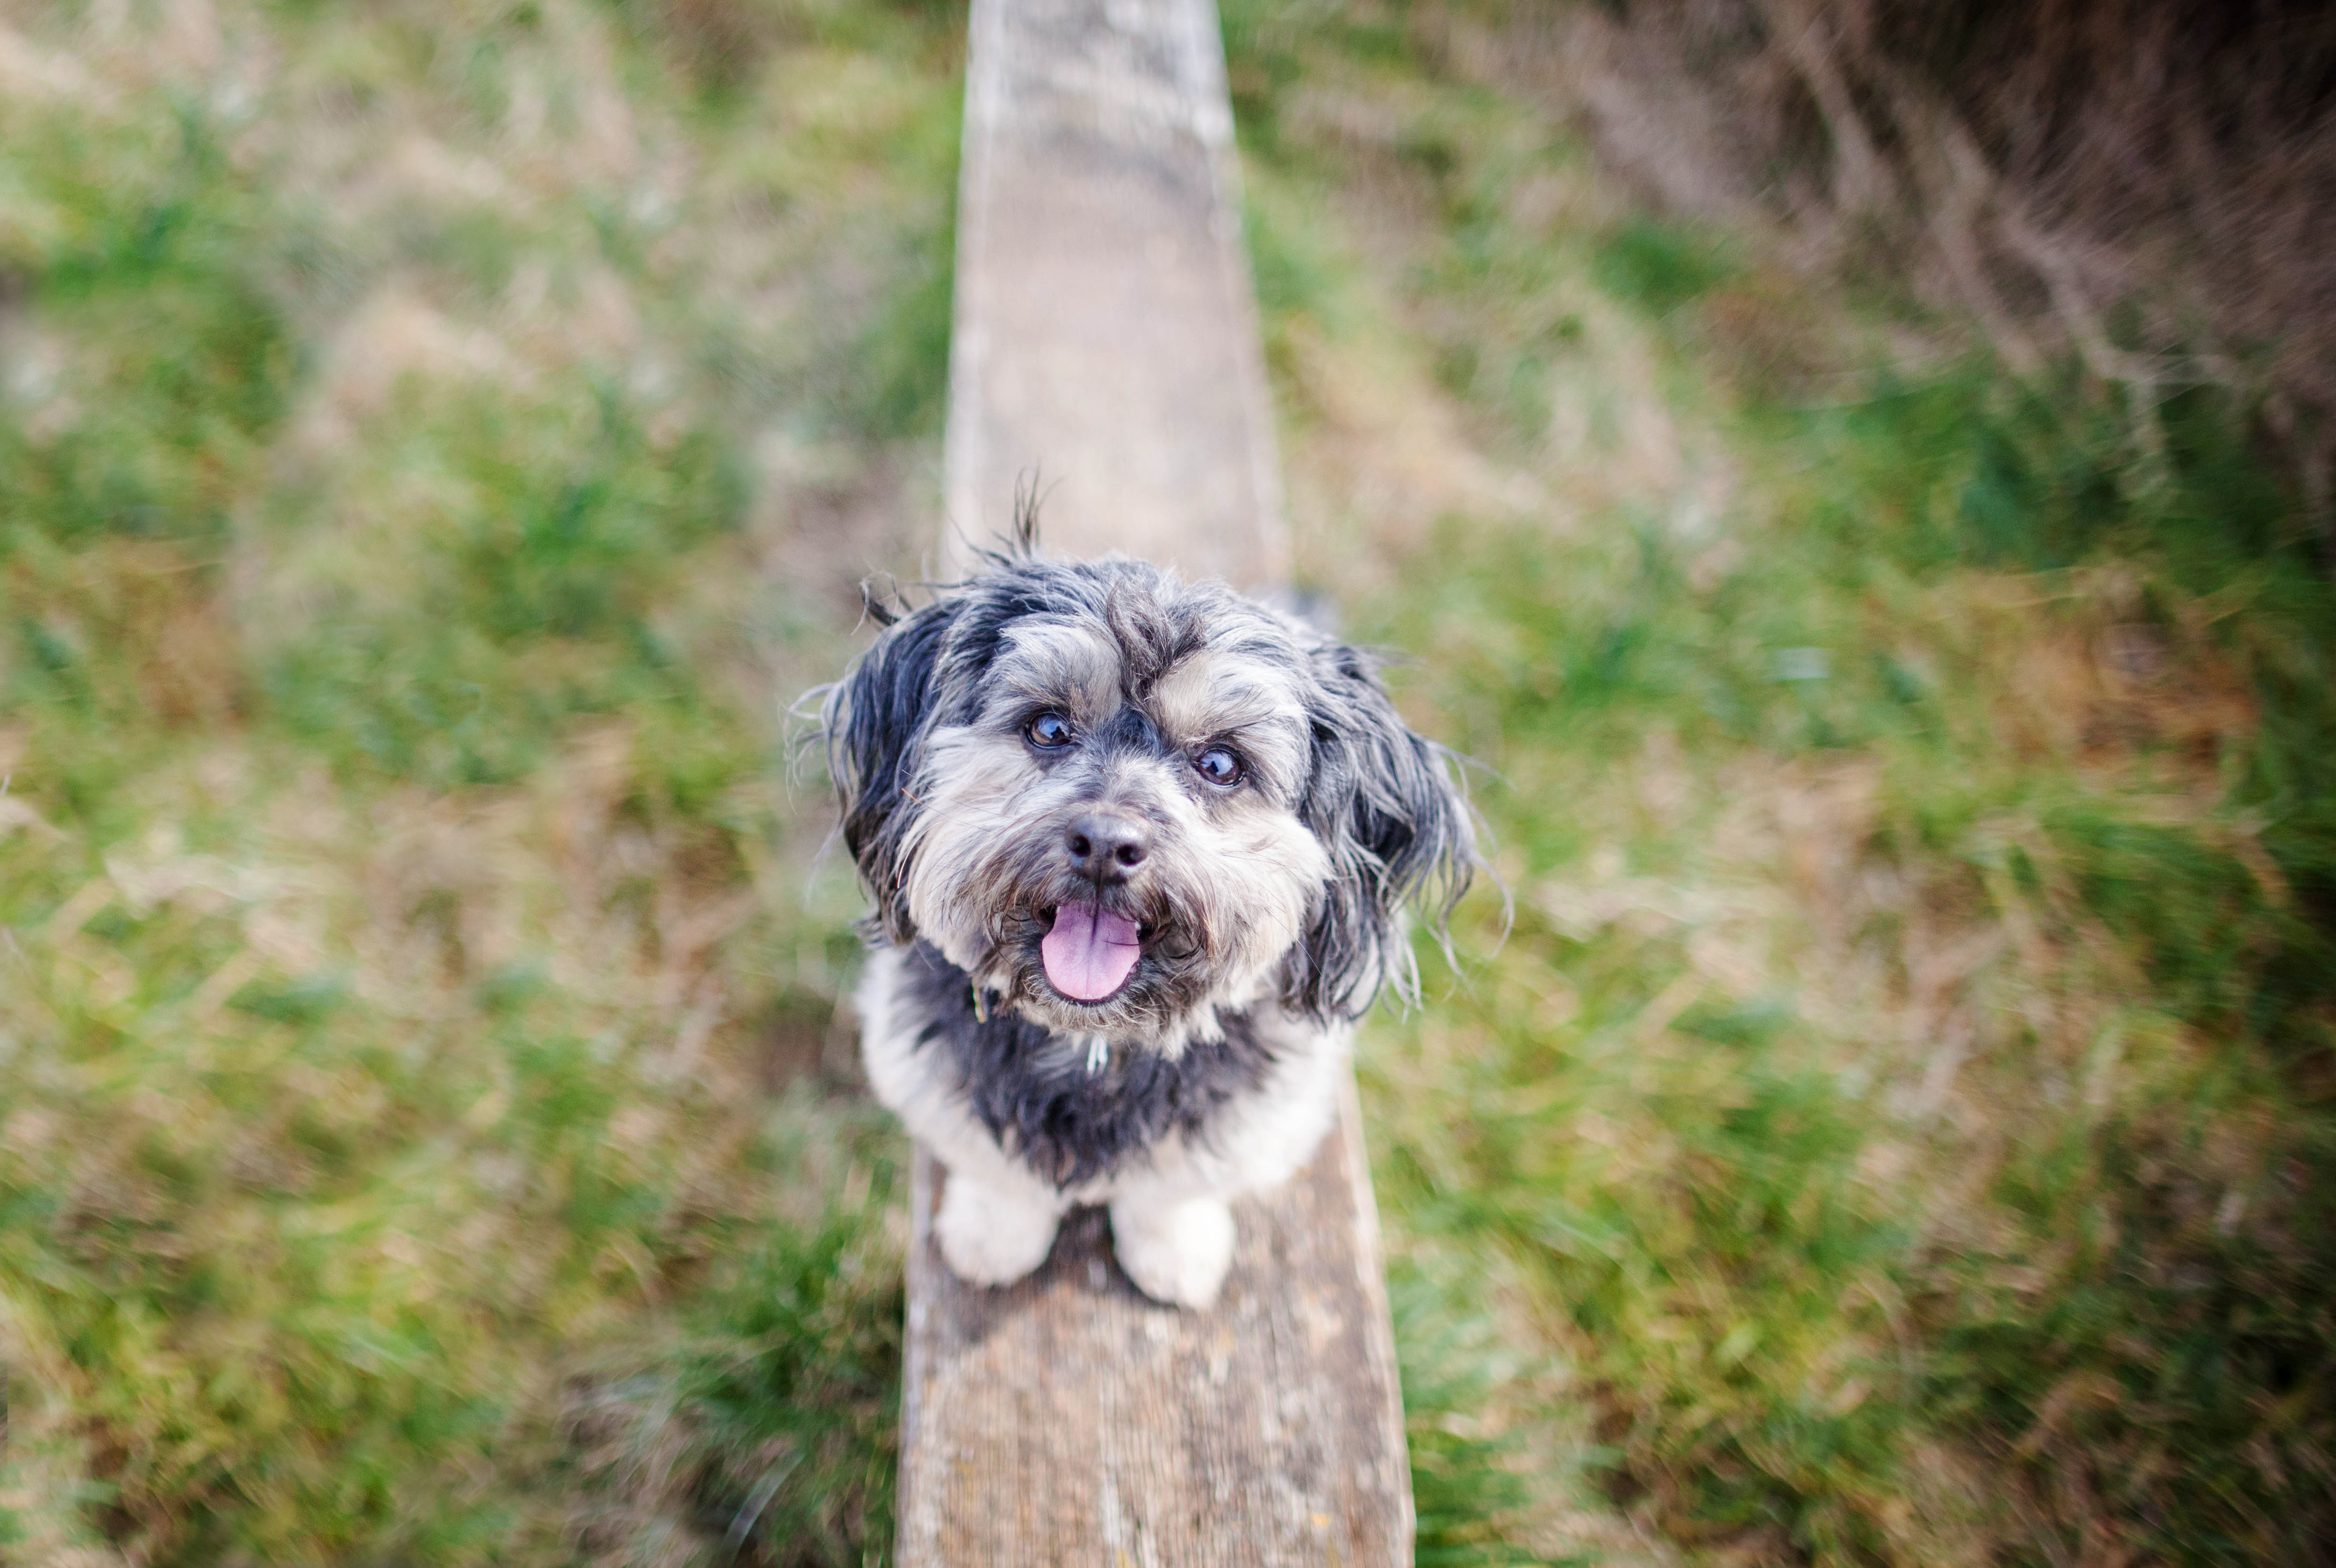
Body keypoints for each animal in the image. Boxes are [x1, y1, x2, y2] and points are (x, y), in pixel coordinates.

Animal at [822, 530, 1476, 1308]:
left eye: (1220, 763)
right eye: (1048, 726)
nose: (1106, 844)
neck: (1093, 1043)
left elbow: (1172, 1189)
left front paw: (1174, 1251)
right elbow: (994, 1170)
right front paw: (991, 1236)